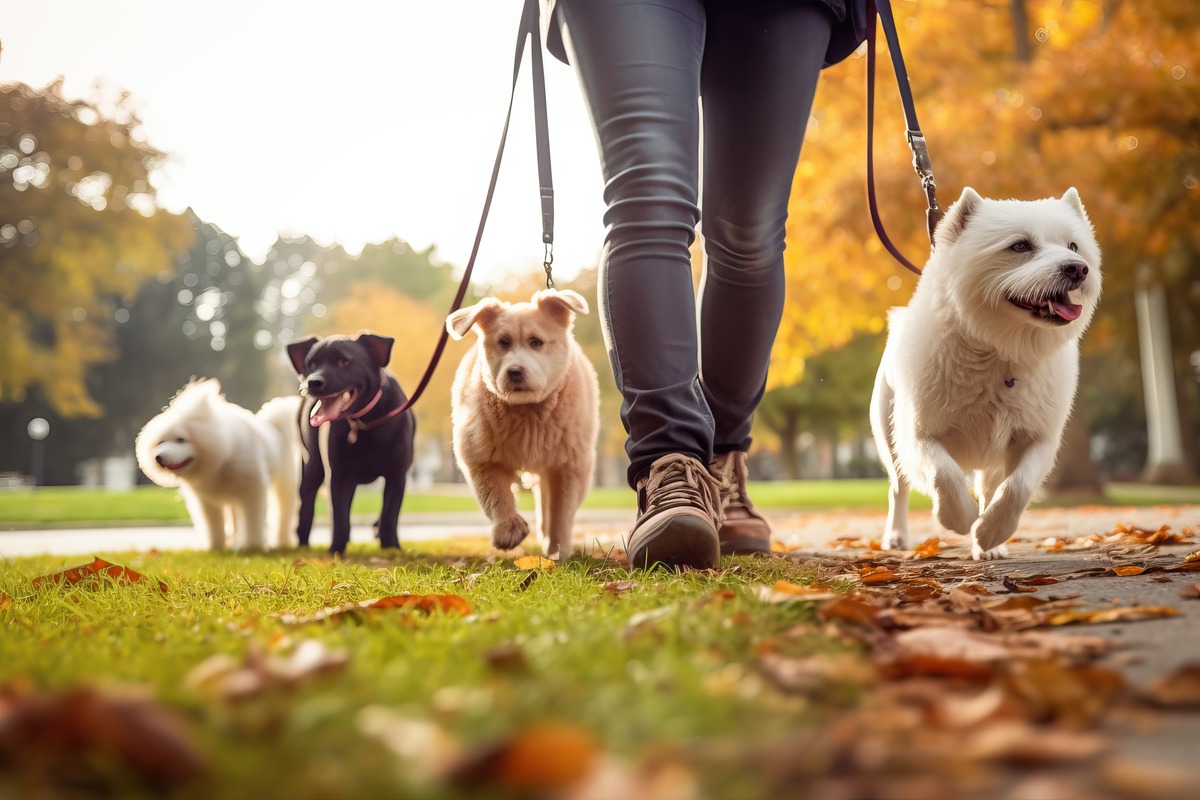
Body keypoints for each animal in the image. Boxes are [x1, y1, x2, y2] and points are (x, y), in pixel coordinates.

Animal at [135, 381, 302, 551]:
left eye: (180, 439)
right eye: (160, 442)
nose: (158, 457)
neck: (222, 460)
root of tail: (276, 427)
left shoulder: (252, 493)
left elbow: (252, 523)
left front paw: (252, 546)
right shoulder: (206, 502)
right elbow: (213, 527)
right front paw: (215, 547)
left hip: (284, 486)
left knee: (284, 515)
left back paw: (282, 541)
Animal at [283, 335, 415, 554]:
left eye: (343, 361)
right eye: (311, 365)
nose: (312, 382)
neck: (364, 422)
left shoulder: (397, 476)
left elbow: (389, 515)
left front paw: (391, 547)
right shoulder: (338, 476)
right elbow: (340, 517)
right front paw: (336, 549)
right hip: (312, 468)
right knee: (307, 506)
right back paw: (304, 544)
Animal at [446, 289, 600, 563]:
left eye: (536, 342)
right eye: (503, 342)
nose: (515, 371)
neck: (528, 411)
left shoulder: (570, 465)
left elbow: (562, 510)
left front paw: (560, 547)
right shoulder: (481, 456)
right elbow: (495, 495)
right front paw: (508, 530)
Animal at [868, 188, 1099, 563]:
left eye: (1074, 246)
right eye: (1020, 246)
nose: (1078, 268)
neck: (1000, 352)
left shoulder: (1037, 437)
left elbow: (1017, 486)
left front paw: (990, 534)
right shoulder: (919, 433)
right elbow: (943, 473)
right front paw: (960, 518)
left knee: (991, 487)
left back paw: (989, 546)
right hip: (889, 438)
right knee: (898, 488)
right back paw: (897, 536)